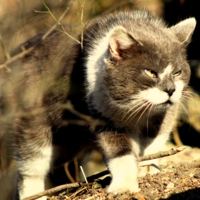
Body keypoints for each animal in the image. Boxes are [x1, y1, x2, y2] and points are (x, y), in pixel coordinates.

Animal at [0, 9, 197, 200]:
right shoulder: (104, 117)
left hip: (65, 144)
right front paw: (124, 186)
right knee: (30, 168)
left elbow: (154, 142)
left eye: (178, 72)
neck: (137, 109)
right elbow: (120, 152)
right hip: (32, 124)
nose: (171, 90)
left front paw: (147, 168)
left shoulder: (162, 117)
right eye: (150, 72)